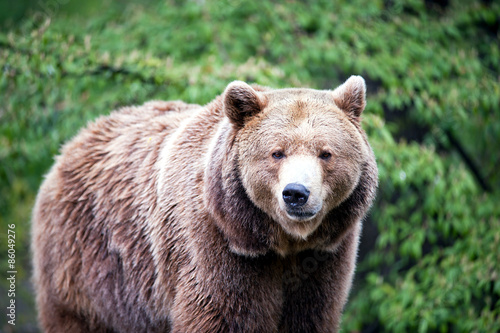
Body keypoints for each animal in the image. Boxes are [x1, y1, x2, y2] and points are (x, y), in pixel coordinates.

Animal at [33, 76, 376, 332]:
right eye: (277, 152)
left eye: (325, 153)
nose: (296, 193)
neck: (280, 241)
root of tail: (73, 143)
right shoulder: (215, 247)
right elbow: (223, 314)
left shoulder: (324, 256)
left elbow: (310, 314)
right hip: (86, 261)